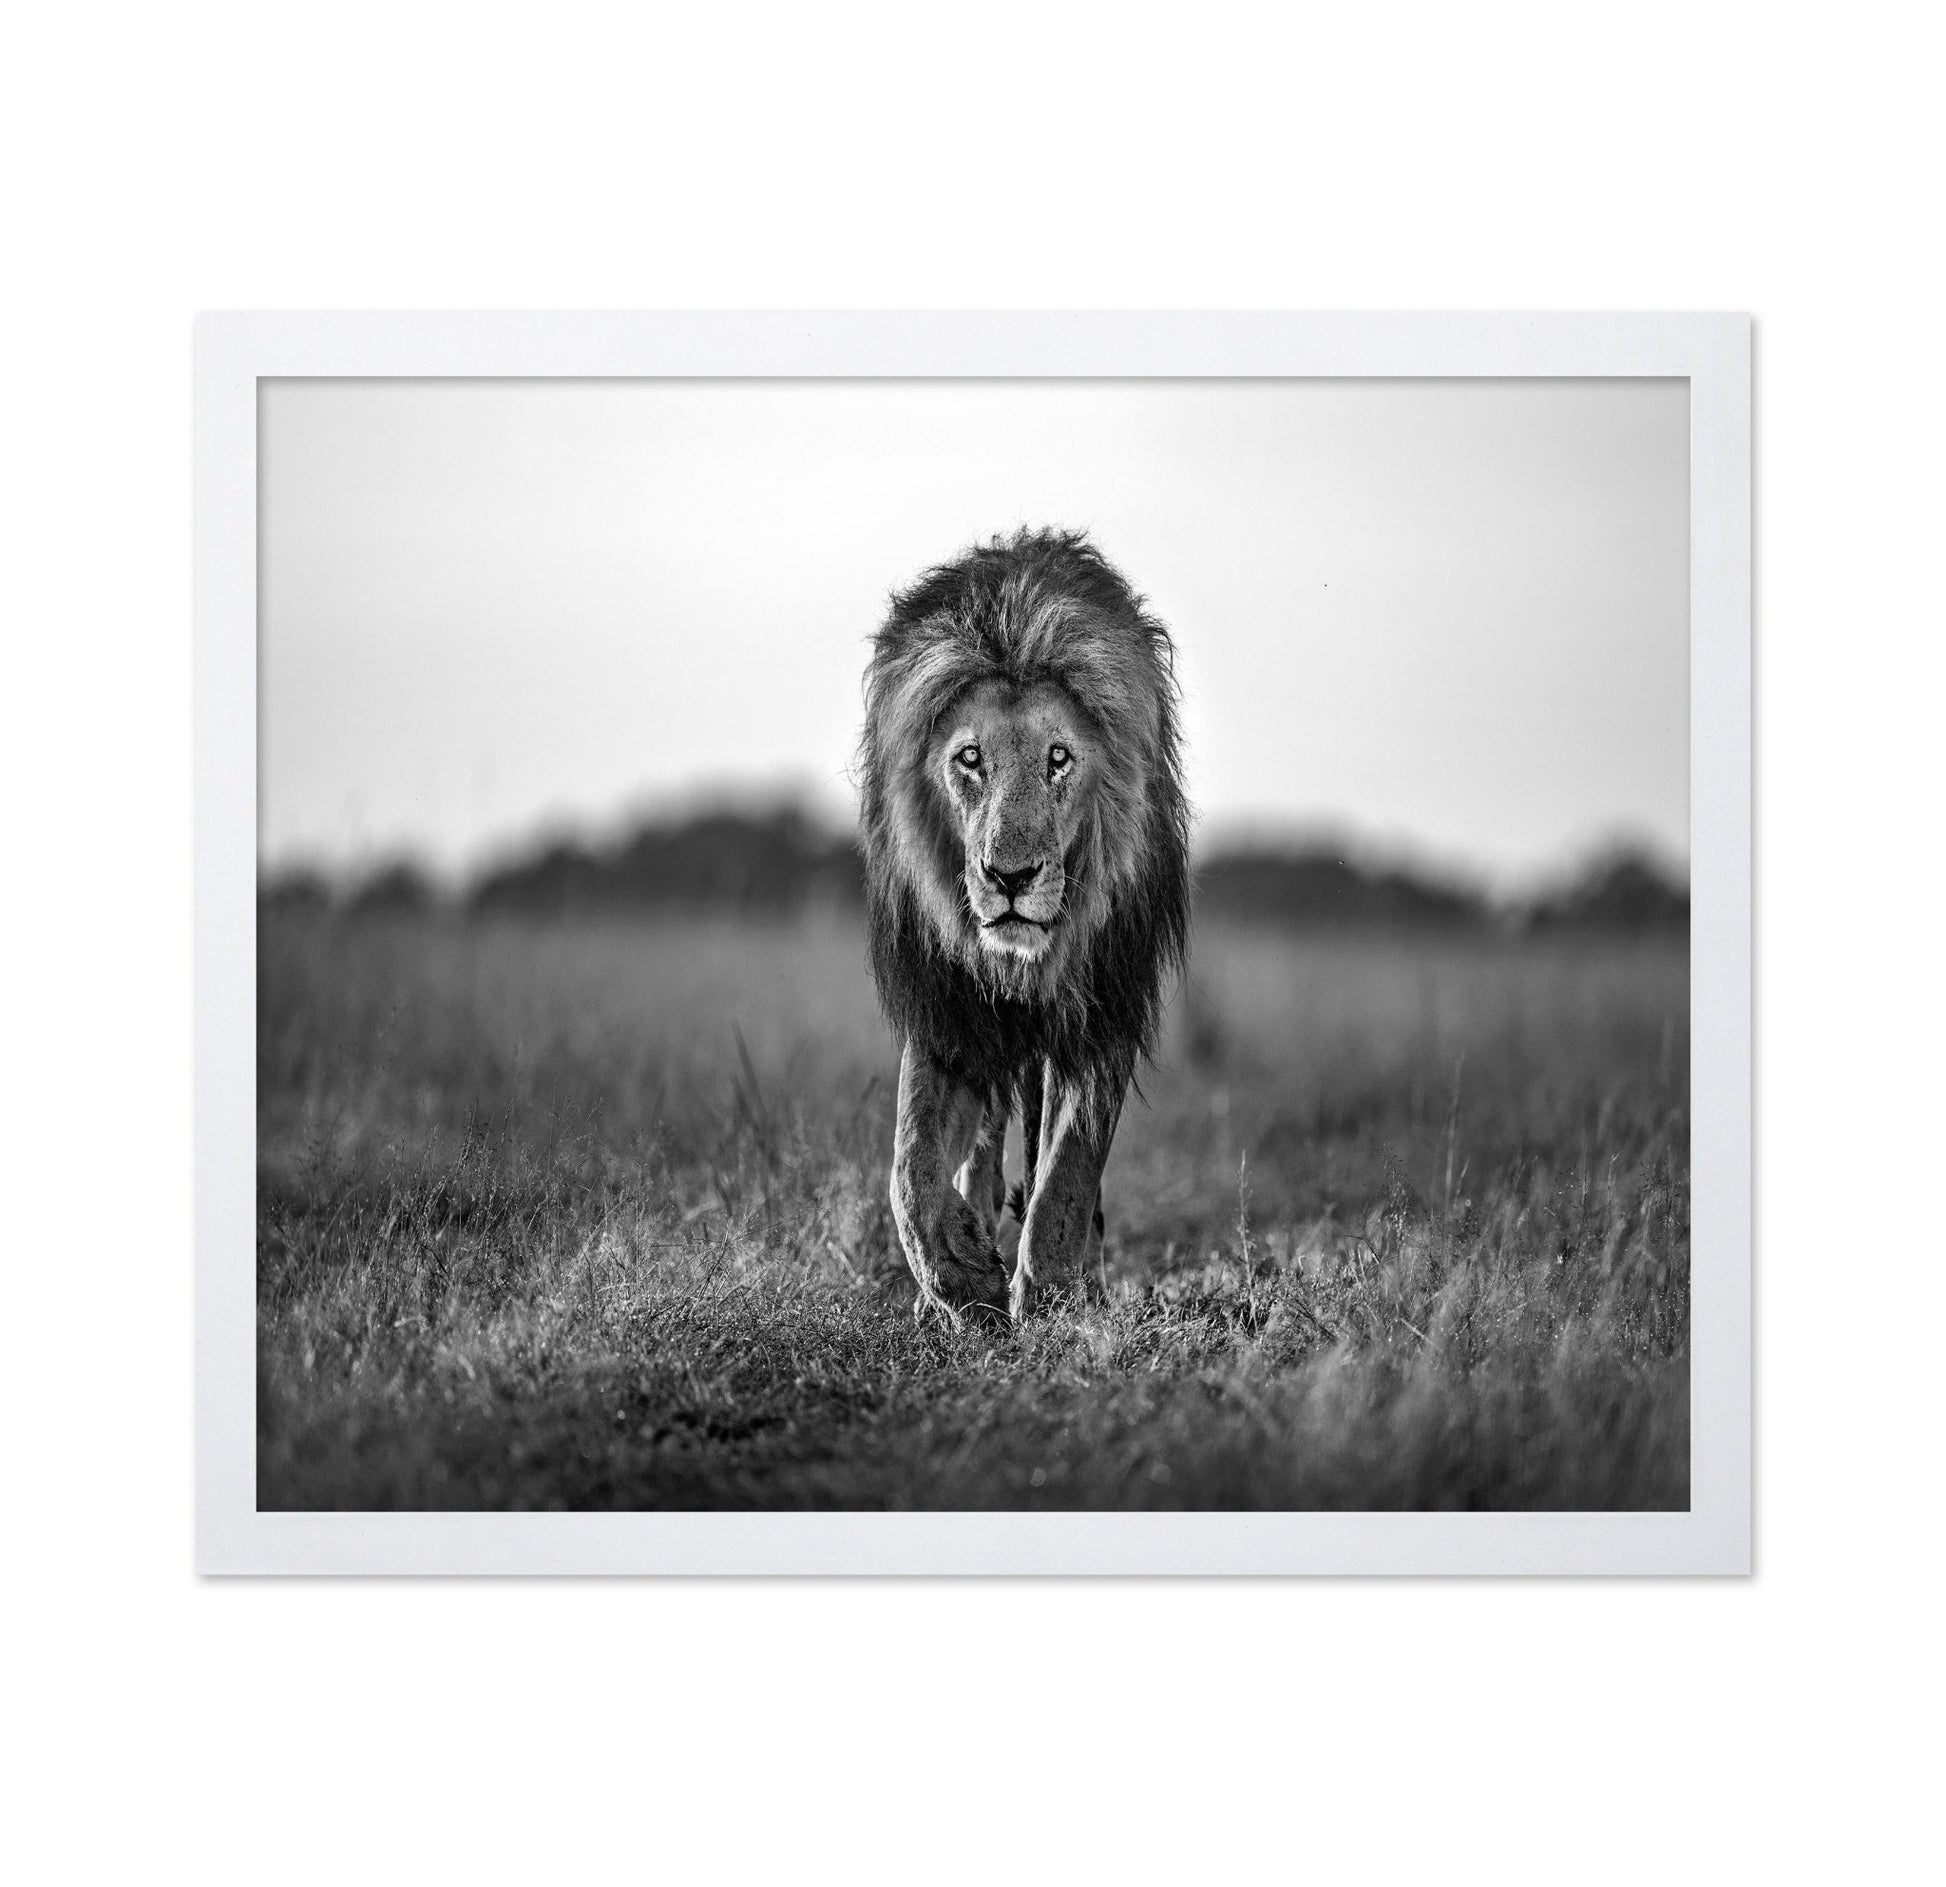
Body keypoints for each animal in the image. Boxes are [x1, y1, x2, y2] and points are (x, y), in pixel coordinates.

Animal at [858, 528, 1191, 1325]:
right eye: (970, 758)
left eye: (1058, 759)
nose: (1010, 878)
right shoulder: (948, 1009)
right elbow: (909, 1166)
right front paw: (958, 1275)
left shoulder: (1103, 1005)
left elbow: (1069, 1166)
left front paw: (1050, 1290)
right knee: (979, 1147)